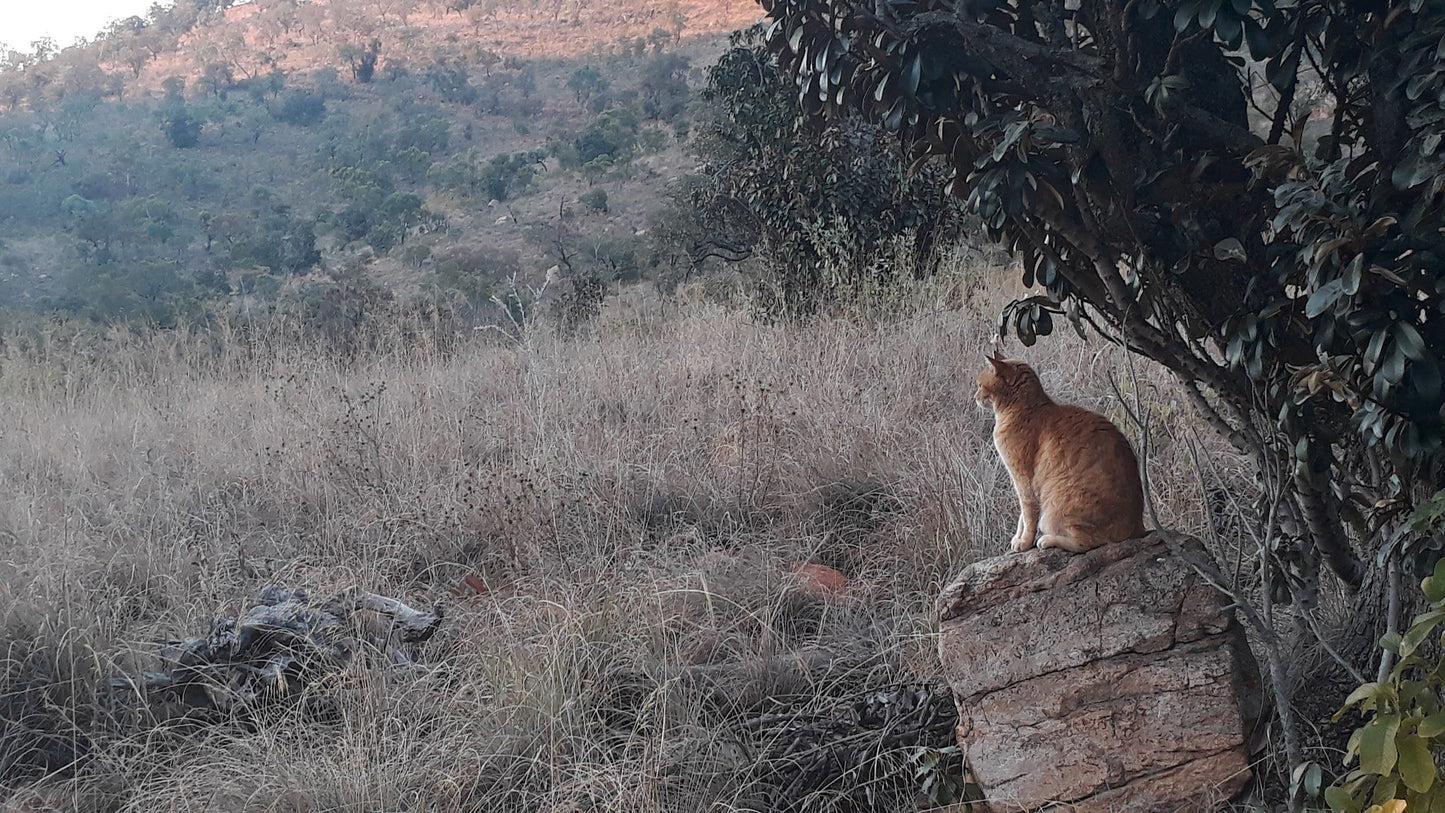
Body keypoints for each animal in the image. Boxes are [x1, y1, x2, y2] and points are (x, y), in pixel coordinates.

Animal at [976, 355, 1144, 554]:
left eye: (980, 385)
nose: (975, 397)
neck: (1024, 409)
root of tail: (1138, 524)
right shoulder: (1021, 483)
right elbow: (1022, 516)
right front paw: (1018, 537)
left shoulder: (1023, 480)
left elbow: (1028, 515)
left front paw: (1024, 541)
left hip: (1056, 509)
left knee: (1088, 542)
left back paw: (1047, 540)